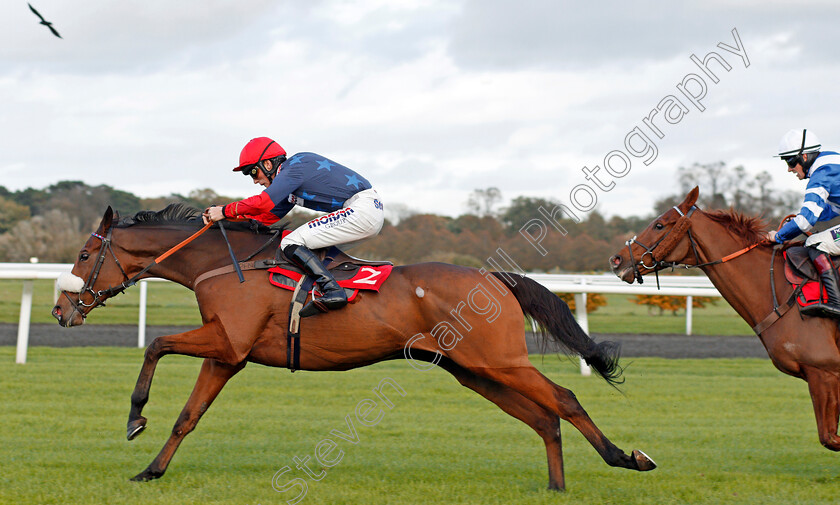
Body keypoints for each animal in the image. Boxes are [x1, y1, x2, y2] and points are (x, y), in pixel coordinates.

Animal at [50, 204, 656, 488]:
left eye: (83, 255)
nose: (60, 311)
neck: (223, 262)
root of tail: (493, 278)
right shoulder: (228, 354)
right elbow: (188, 416)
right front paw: (150, 470)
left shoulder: (227, 338)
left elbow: (155, 344)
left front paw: (135, 417)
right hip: (473, 369)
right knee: (544, 417)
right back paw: (556, 485)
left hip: (498, 360)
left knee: (564, 400)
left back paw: (626, 456)